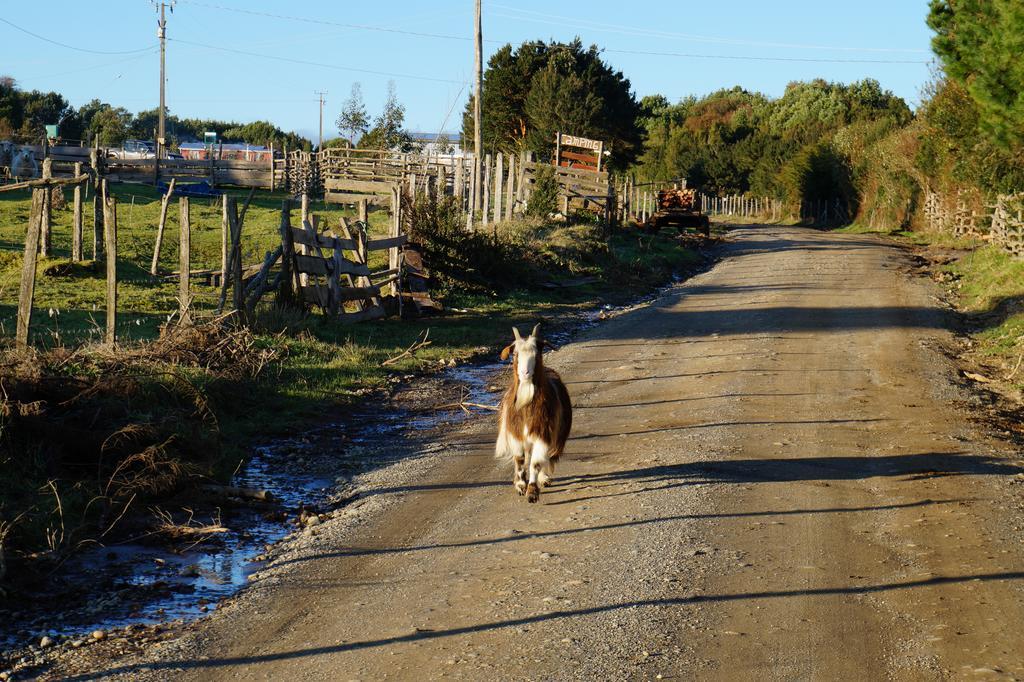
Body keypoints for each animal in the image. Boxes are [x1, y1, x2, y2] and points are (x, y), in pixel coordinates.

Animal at [497, 321, 573, 501]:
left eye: (537, 354)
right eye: (515, 354)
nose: (525, 373)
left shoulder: (543, 433)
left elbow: (536, 463)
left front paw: (532, 491)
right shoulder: (516, 434)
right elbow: (520, 460)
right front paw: (520, 485)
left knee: (544, 458)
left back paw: (543, 478)